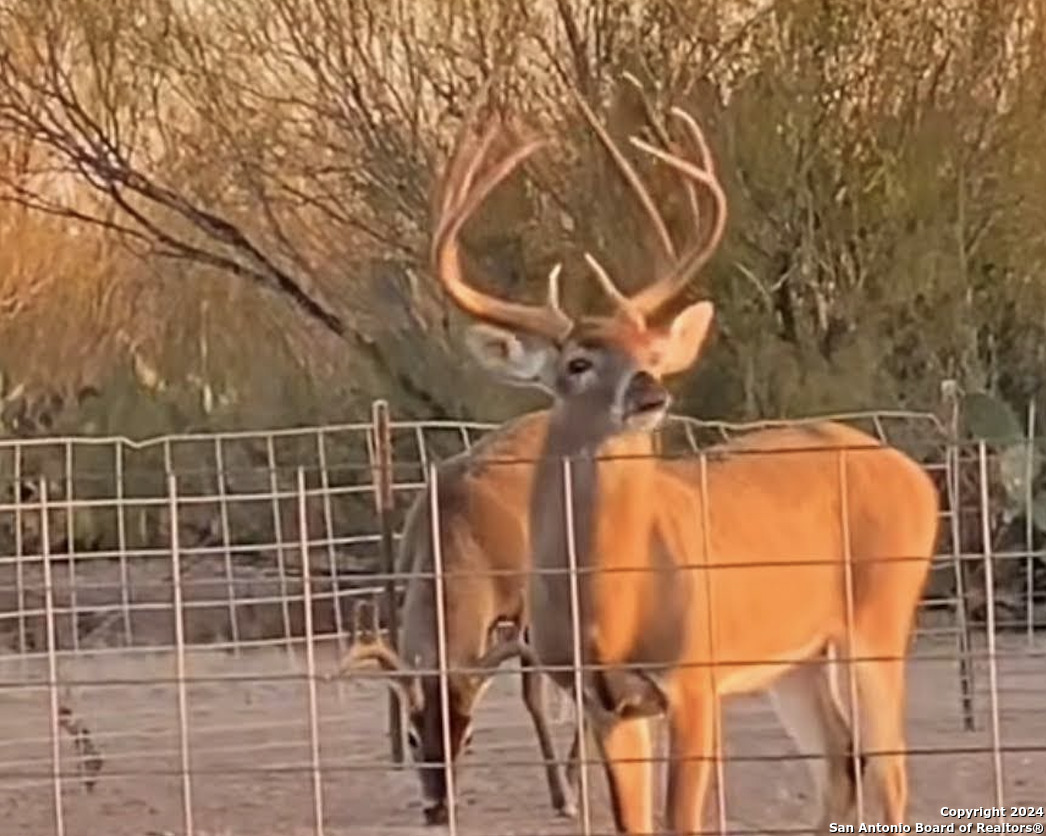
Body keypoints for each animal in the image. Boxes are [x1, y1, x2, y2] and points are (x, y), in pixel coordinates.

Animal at [424, 80, 941, 836]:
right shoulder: (605, 704)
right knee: (841, 765)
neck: (610, 605)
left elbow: (680, 821)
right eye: (578, 362)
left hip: (880, 613)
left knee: (890, 773)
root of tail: (918, 478)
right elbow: (632, 823)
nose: (651, 391)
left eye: (649, 349)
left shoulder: (694, 681)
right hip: (796, 657)